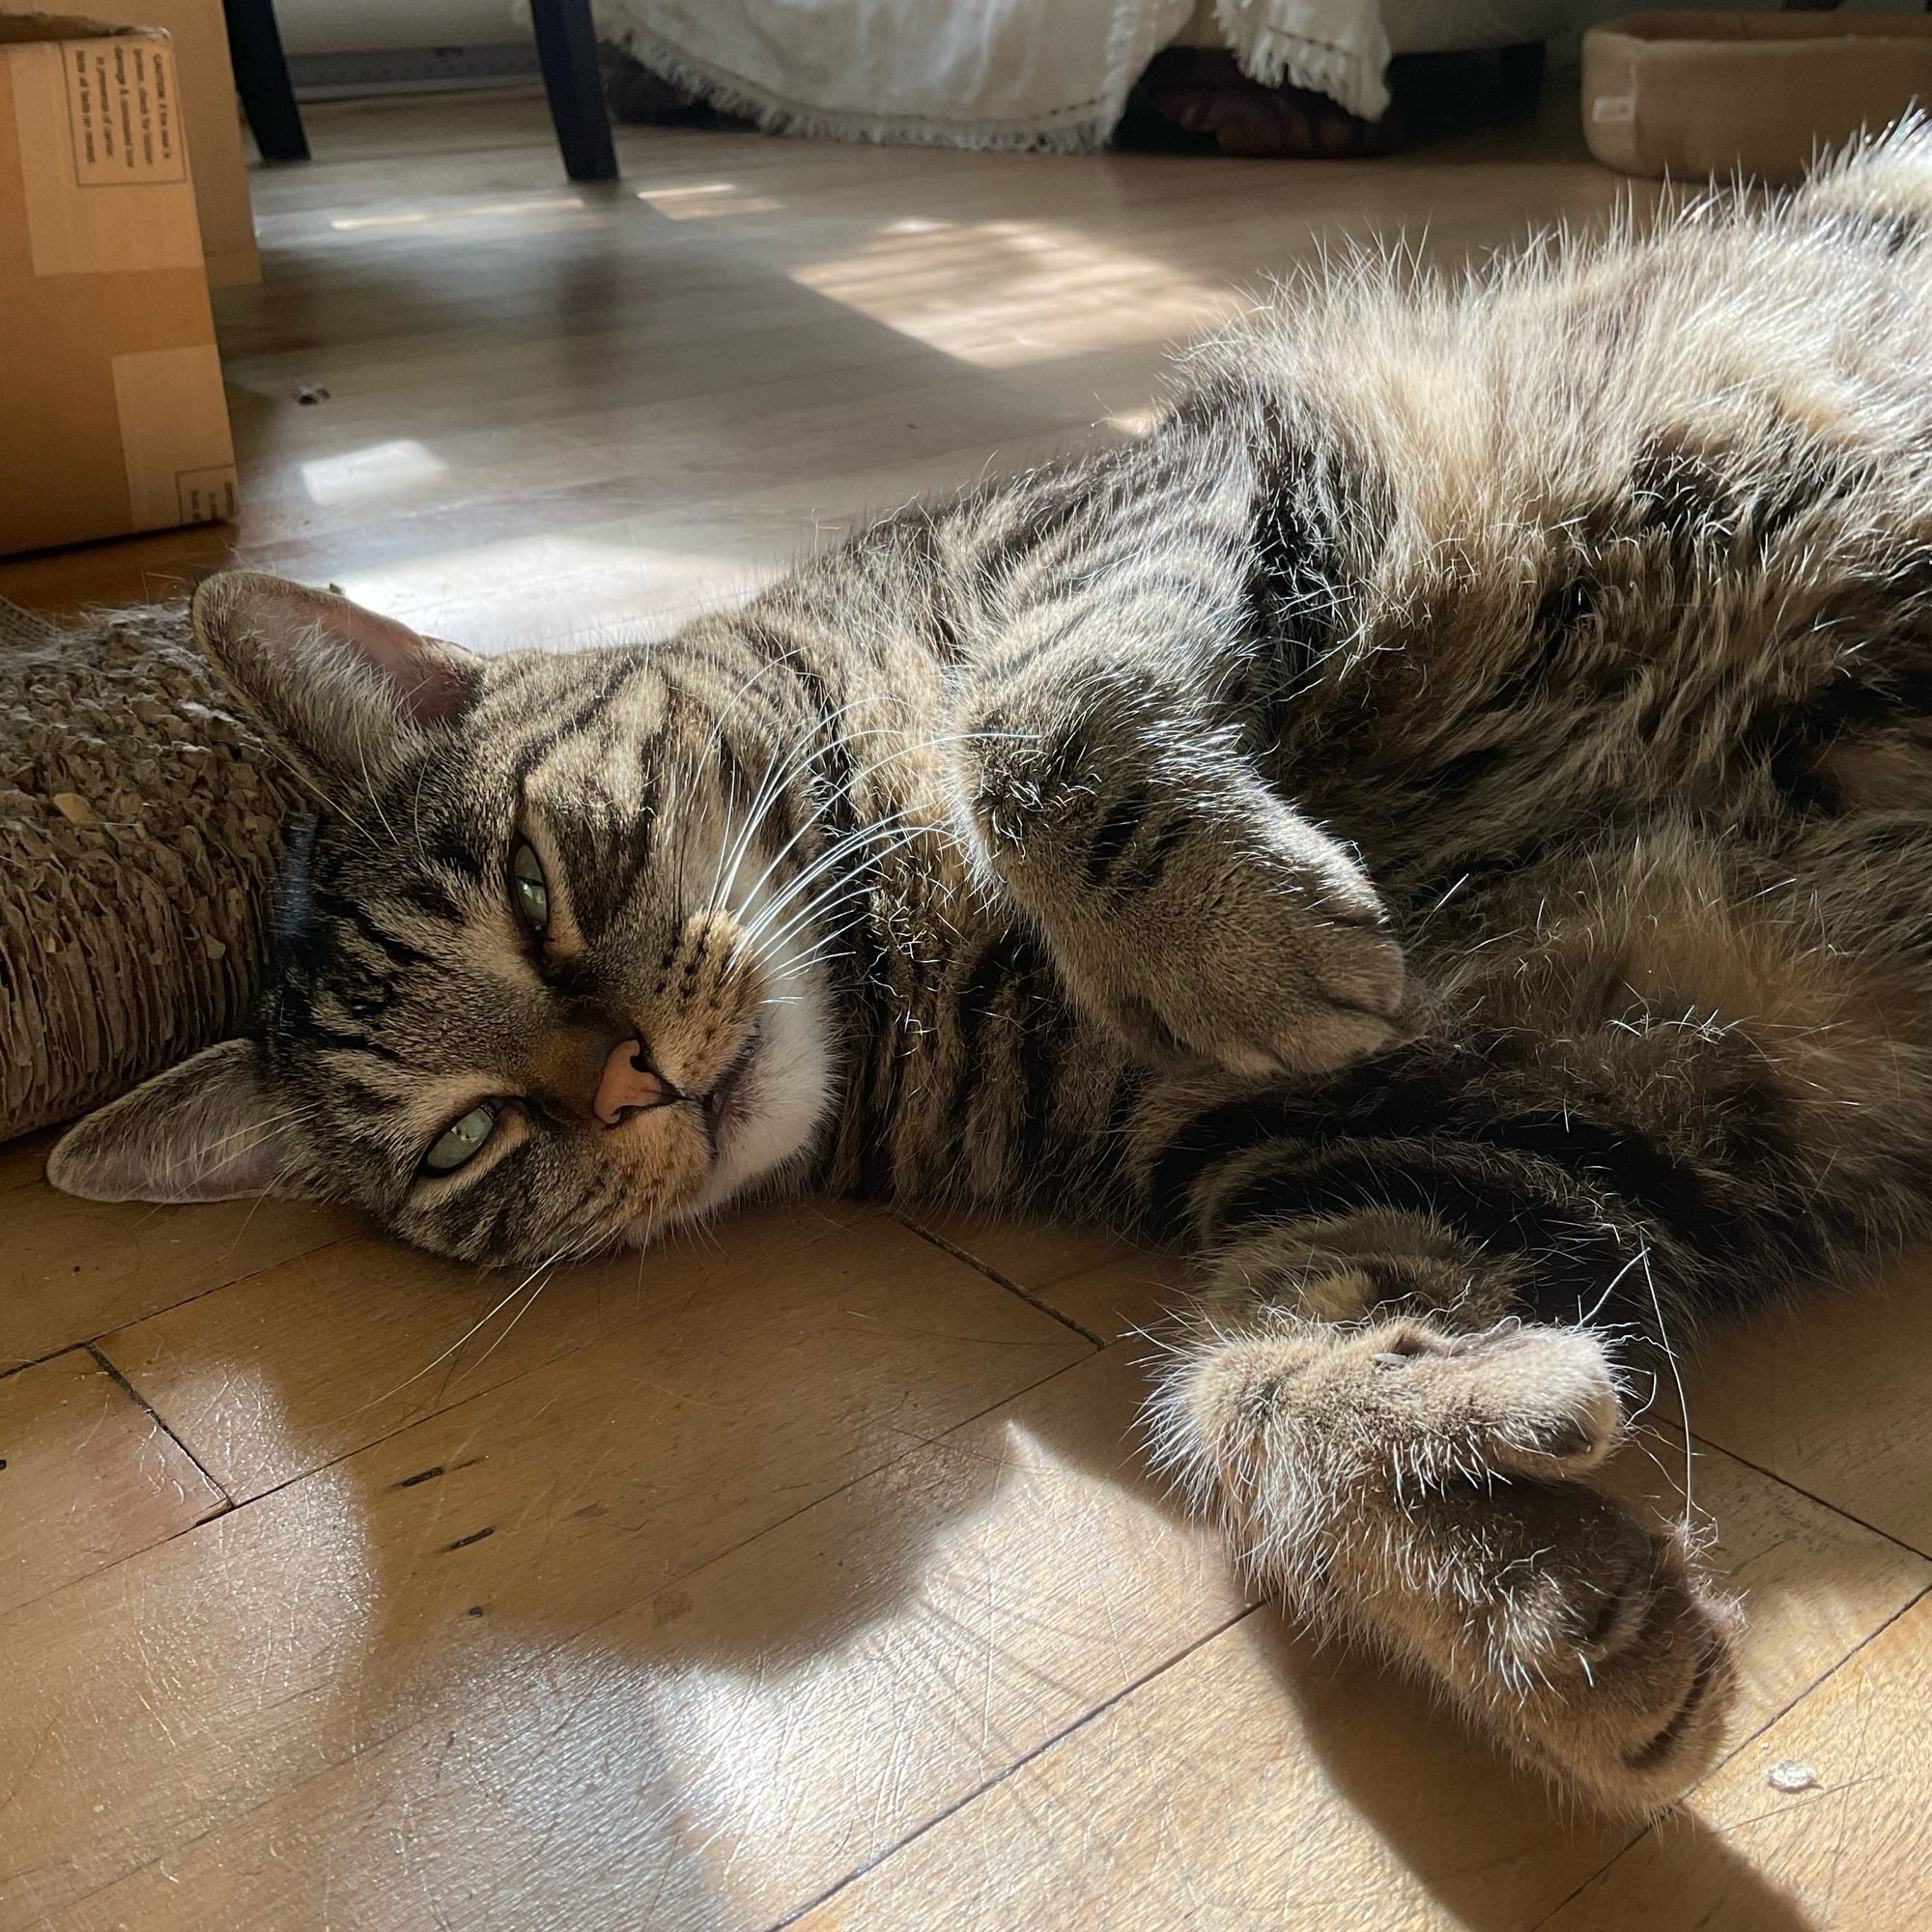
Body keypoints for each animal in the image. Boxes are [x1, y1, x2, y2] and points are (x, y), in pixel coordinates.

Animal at [48, 132, 1932, 1808]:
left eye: (536, 882)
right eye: (463, 1143)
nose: (635, 1078)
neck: (915, 989)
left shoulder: (1154, 493)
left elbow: (1029, 720)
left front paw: (1244, 946)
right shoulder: (1555, 1108)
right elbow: (1242, 1394)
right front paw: (1511, 1579)